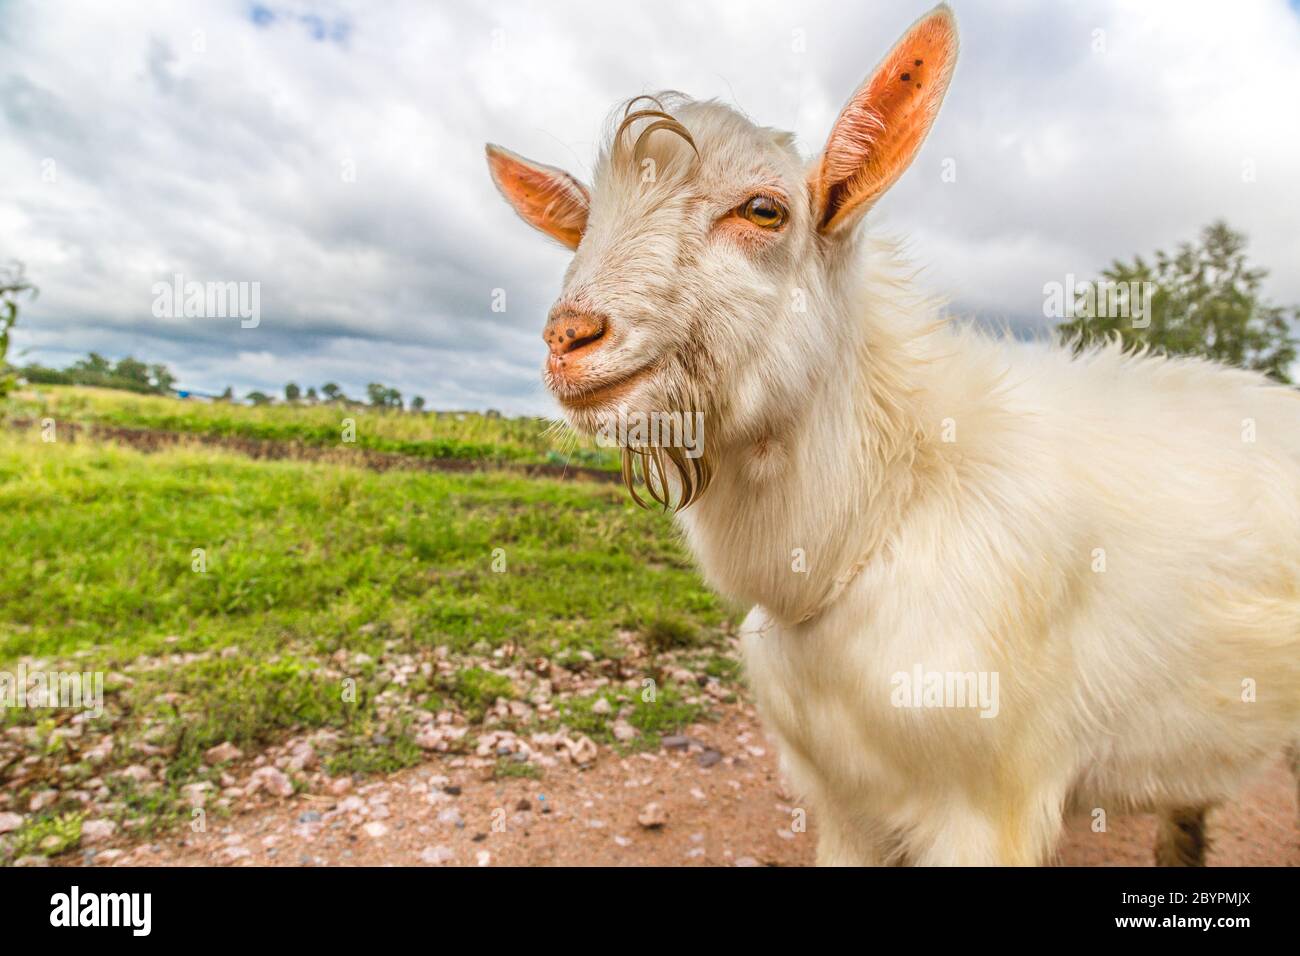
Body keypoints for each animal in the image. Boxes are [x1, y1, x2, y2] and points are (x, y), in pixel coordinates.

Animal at [486, 4, 1300, 865]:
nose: (570, 337)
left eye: (764, 210)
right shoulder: (845, 804)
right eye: (581, 231)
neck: (889, 506)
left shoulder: (990, 807)